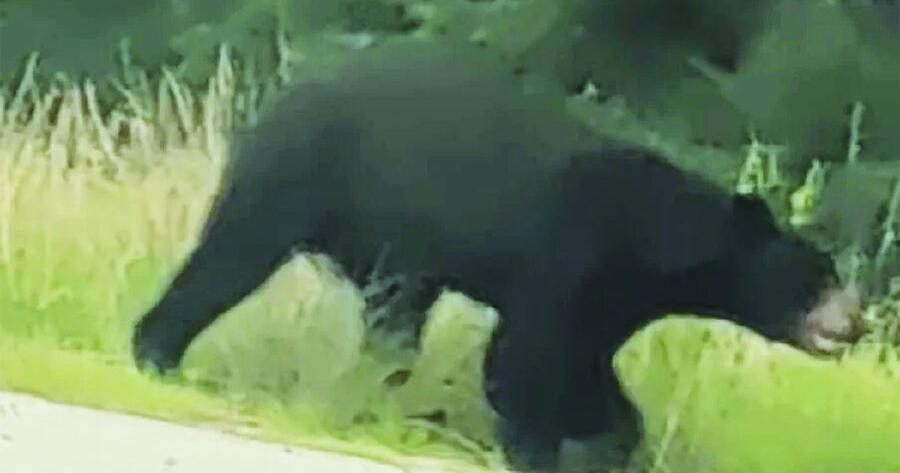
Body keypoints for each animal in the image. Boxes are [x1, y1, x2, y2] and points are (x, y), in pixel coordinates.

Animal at [132, 43, 842, 471]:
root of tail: (278, 98)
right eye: (820, 277)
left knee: (392, 319)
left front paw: (615, 434)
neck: (653, 241)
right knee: (231, 257)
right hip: (296, 179)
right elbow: (521, 362)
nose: (854, 320)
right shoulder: (567, 253)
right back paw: (157, 353)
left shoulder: (611, 299)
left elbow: (585, 366)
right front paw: (538, 447)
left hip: (388, 256)